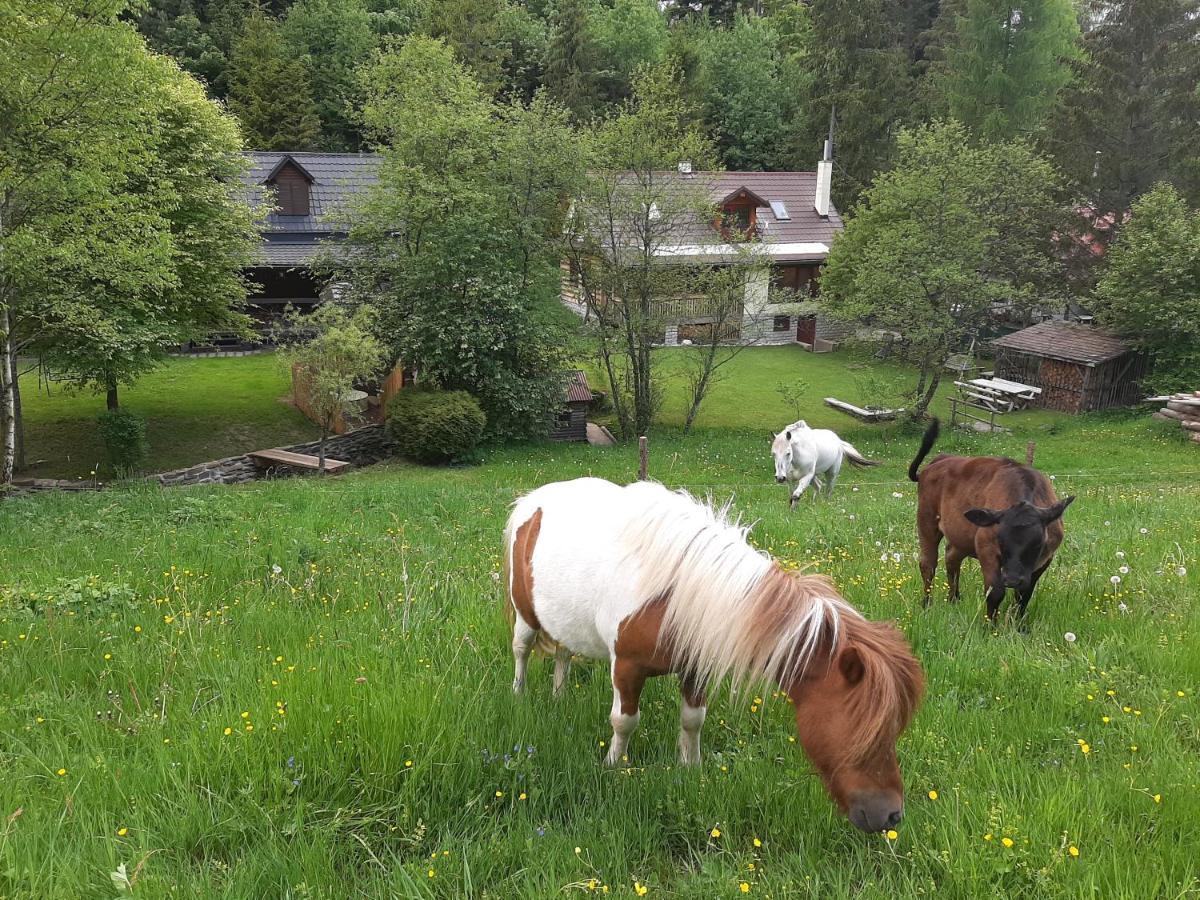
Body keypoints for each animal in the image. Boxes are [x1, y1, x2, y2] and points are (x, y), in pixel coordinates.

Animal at [501, 475, 921, 835]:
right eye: (865, 729)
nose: (892, 816)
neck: (675, 596)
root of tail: (533, 500)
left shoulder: (695, 666)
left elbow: (692, 720)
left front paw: (690, 769)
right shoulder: (627, 667)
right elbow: (624, 722)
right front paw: (613, 767)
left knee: (563, 655)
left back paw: (559, 696)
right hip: (525, 614)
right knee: (521, 651)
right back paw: (519, 697)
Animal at [912, 422, 1075, 619]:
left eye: (1037, 544)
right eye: (1001, 540)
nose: (1012, 579)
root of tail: (940, 460)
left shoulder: (1045, 558)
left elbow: (1024, 595)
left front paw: (1017, 623)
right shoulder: (986, 548)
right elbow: (995, 592)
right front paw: (990, 624)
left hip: (961, 536)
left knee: (951, 558)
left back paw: (954, 599)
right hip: (926, 521)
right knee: (928, 563)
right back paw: (927, 604)